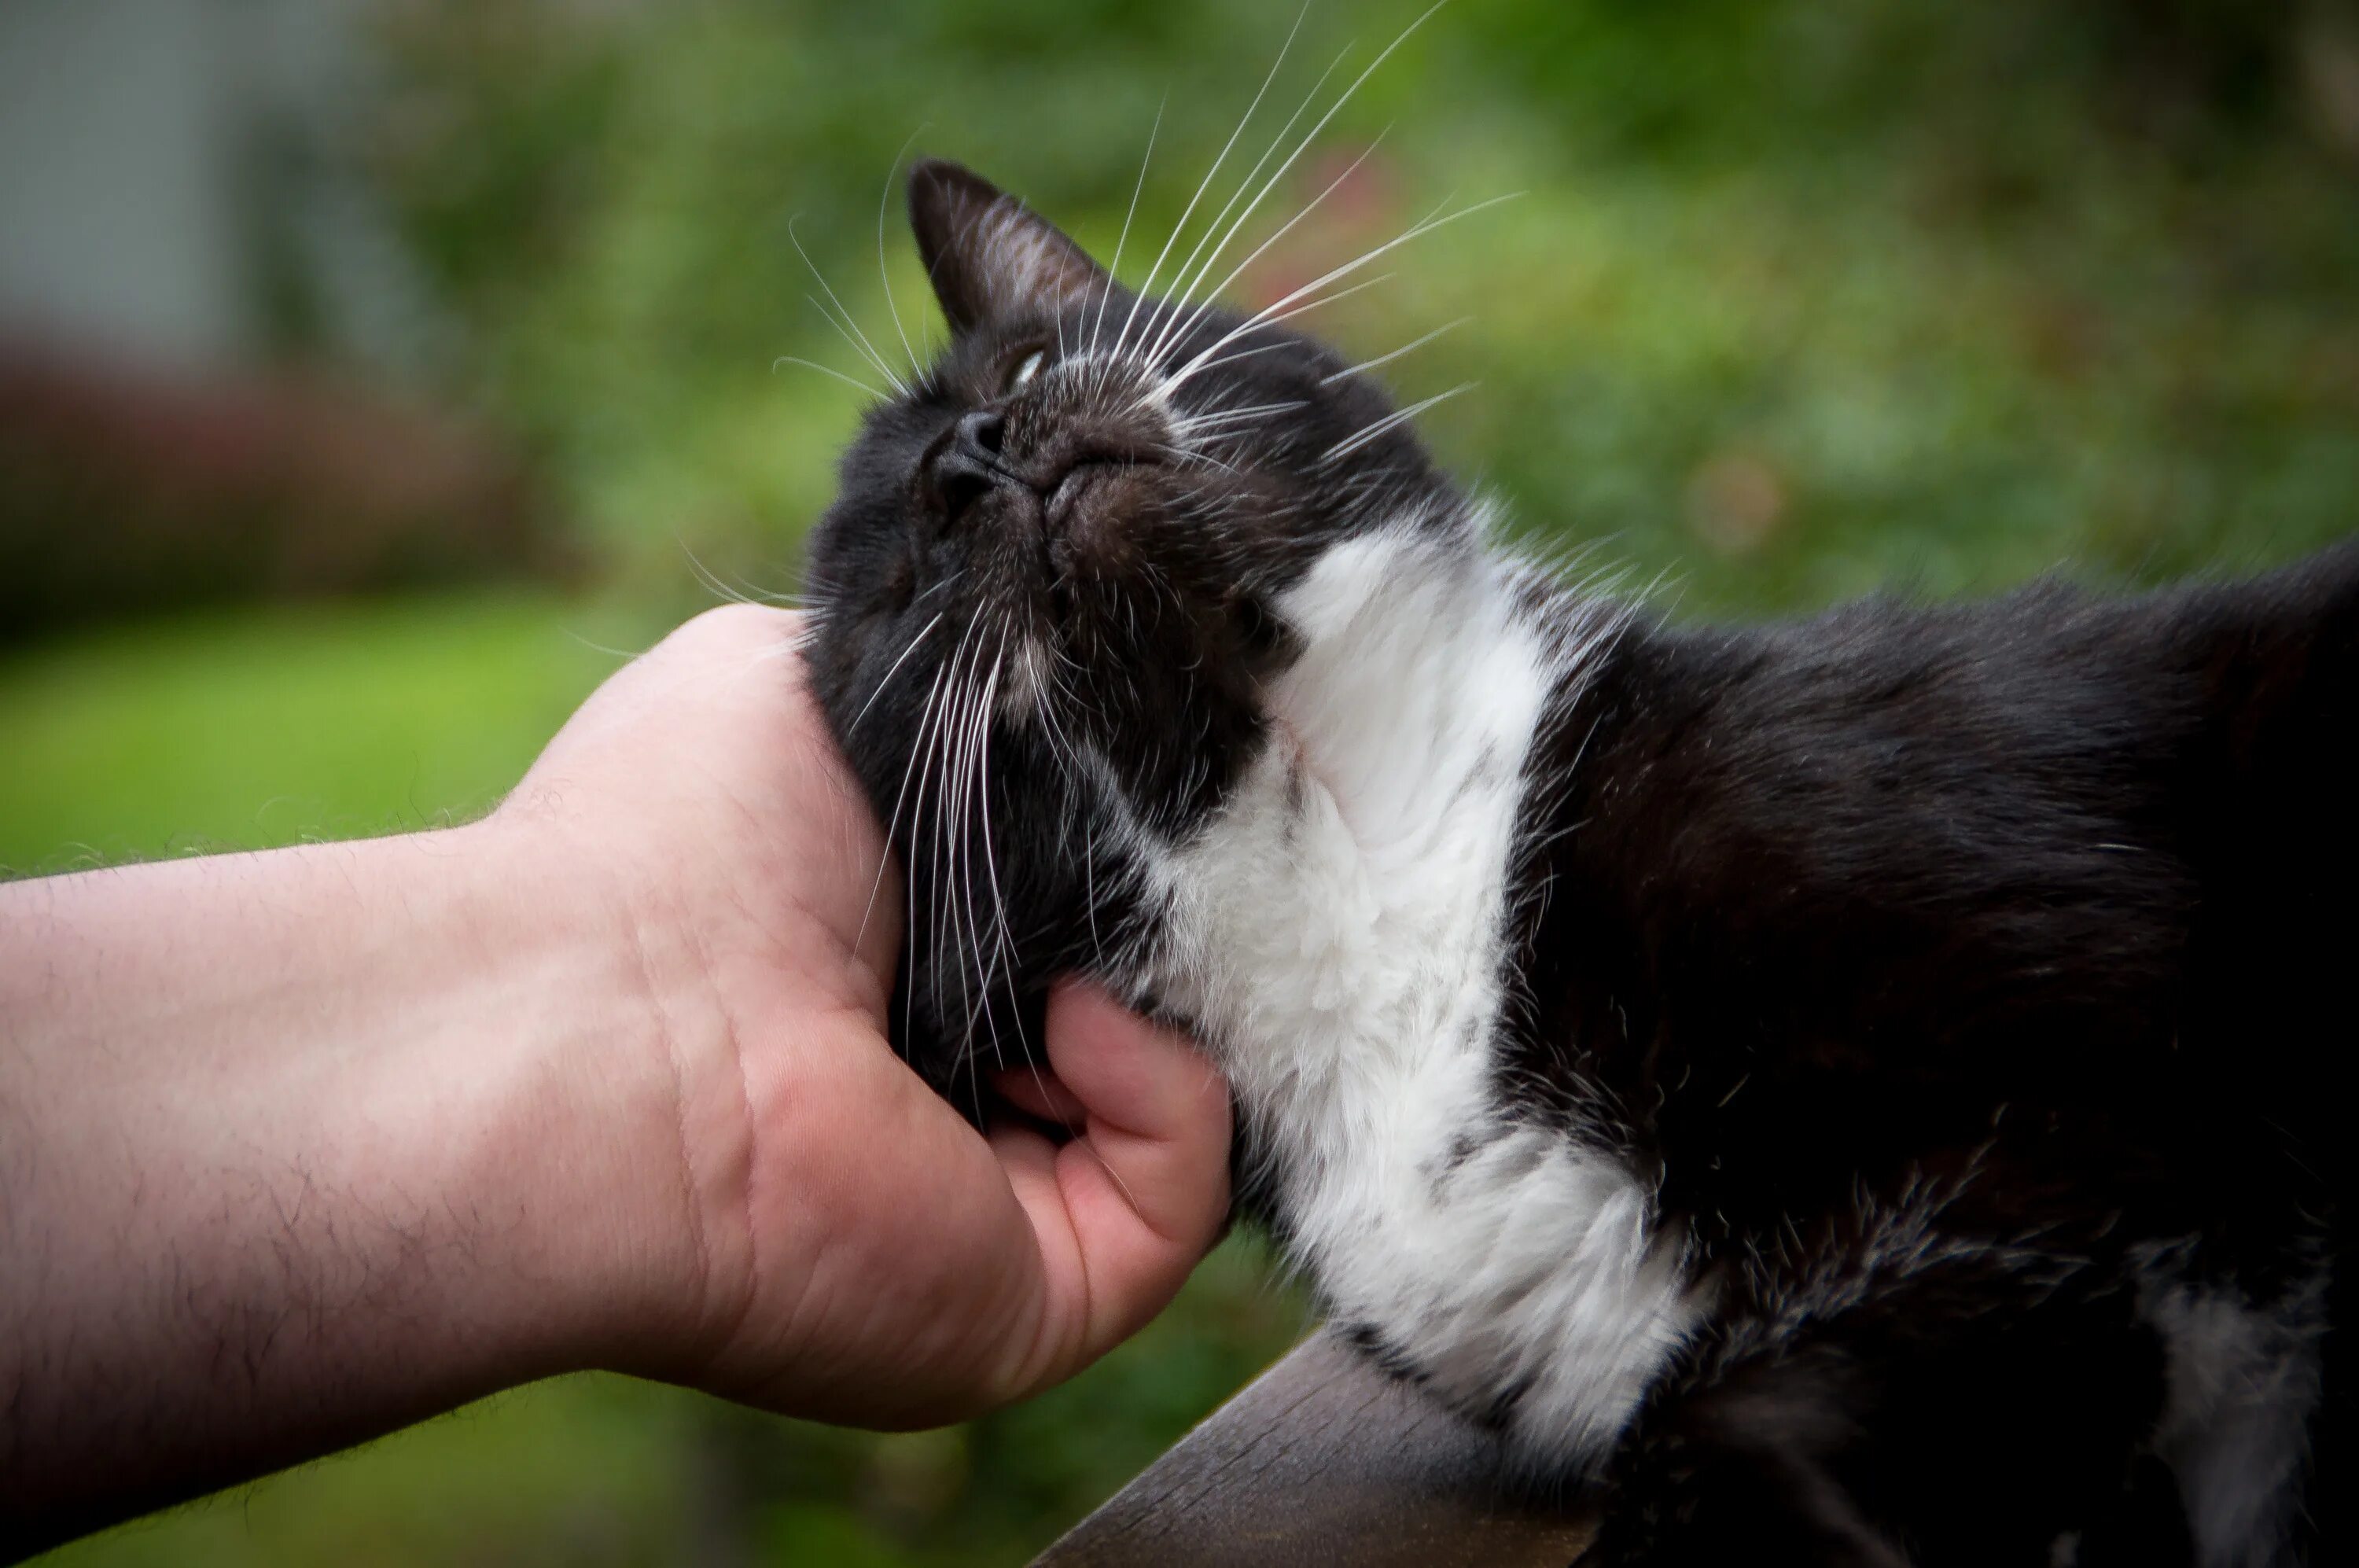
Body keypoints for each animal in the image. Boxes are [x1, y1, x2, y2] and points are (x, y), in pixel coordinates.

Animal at [802, 159, 2350, 1566]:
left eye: (1030, 359)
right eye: (894, 591)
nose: (976, 450)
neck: (1371, 874)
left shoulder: (2091, 1049)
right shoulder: (1967, 1250)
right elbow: (1715, 1423)